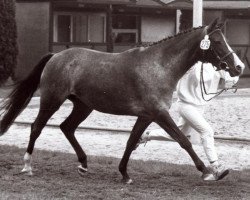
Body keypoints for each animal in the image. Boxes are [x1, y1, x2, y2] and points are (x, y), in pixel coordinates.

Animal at [0, 18, 244, 184]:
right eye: (217, 41)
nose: (238, 67)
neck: (159, 66)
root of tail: (56, 56)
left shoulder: (146, 116)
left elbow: (131, 141)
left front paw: (125, 174)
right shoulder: (159, 113)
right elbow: (183, 140)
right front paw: (208, 171)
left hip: (83, 106)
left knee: (66, 127)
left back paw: (84, 165)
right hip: (52, 100)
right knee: (36, 127)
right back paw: (27, 166)